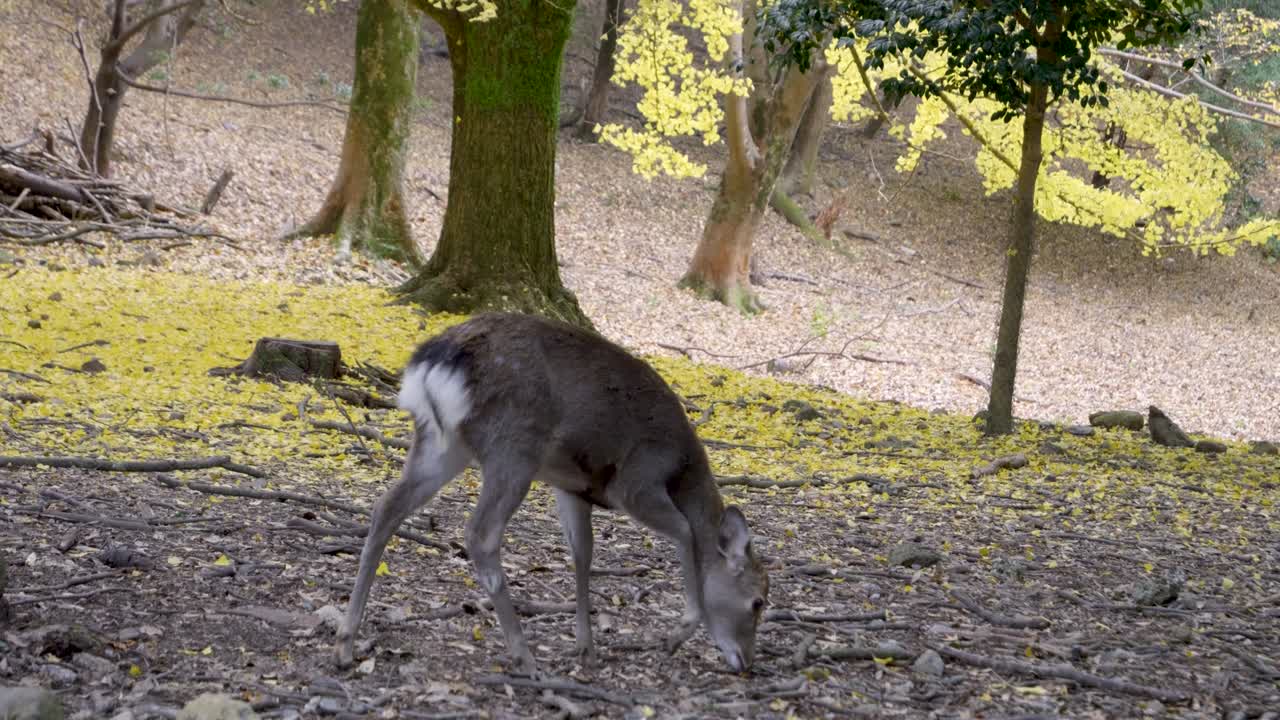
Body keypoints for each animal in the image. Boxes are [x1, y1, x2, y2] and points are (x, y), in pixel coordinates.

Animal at [333, 312, 769, 674]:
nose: (746, 662)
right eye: (758, 601)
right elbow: (685, 531)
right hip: (513, 447)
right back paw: (523, 656)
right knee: (480, 533)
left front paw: (586, 648)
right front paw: (674, 636)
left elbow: (582, 556)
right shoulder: (636, 482)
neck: (683, 470)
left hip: (441, 444)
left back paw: (345, 643)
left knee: (386, 506)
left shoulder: (572, 488)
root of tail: (435, 363)